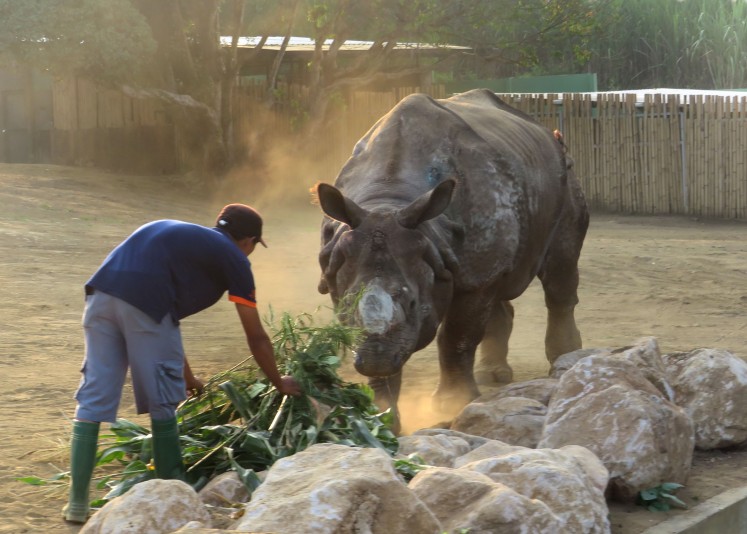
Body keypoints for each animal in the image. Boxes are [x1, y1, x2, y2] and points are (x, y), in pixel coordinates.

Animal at [316, 89, 592, 428]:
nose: (374, 359)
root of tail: (544, 131)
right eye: (347, 302)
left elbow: (457, 336)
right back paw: (494, 375)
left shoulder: (468, 275)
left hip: (566, 178)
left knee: (559, 274)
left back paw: (565, 363)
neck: (390, 199)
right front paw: (380, 416)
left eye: (412, 303)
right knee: (498, 284)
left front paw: (453, 404)